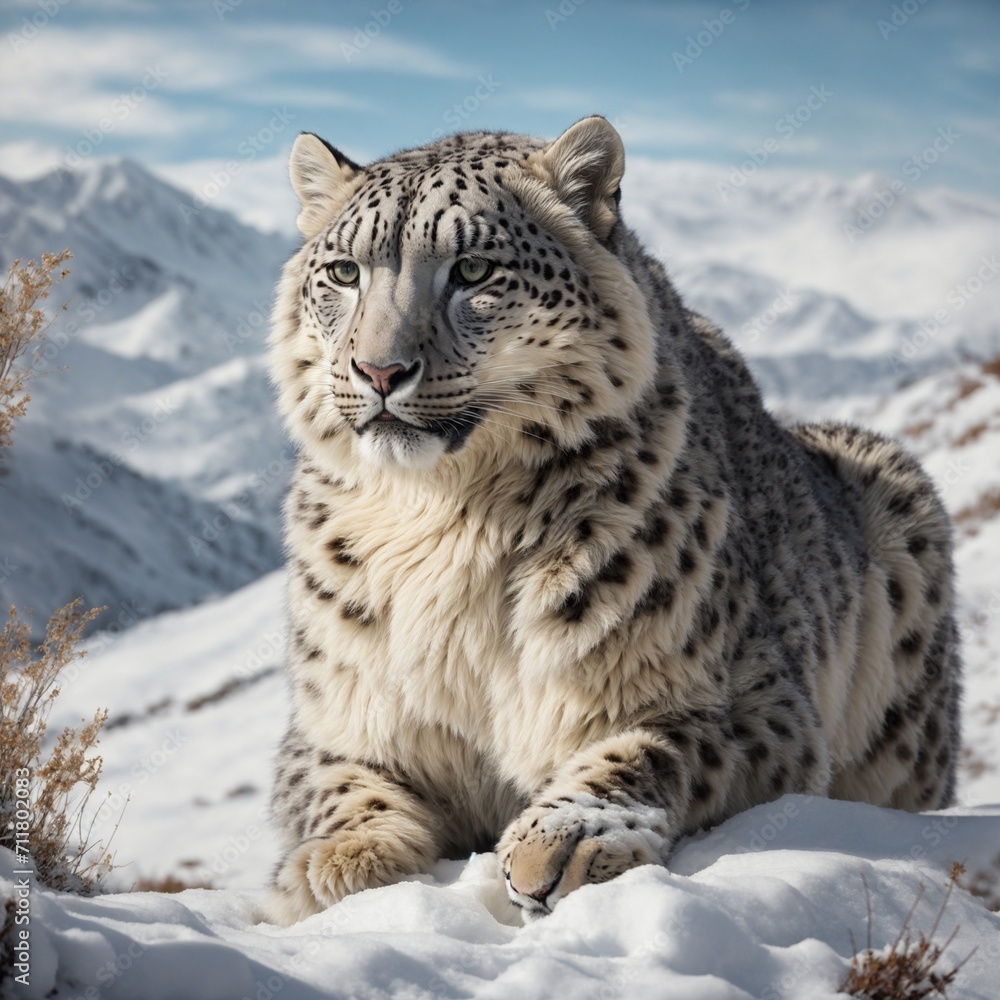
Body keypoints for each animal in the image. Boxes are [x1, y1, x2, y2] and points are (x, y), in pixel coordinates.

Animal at [263, 116, 962, 925]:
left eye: (473, 270)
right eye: (344, 273)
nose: (378, 371)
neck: (445, 519)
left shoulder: (748, 703)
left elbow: (648, 747)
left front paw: (563, 839)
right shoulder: (337, 714)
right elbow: (338, 784)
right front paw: (343, 863)